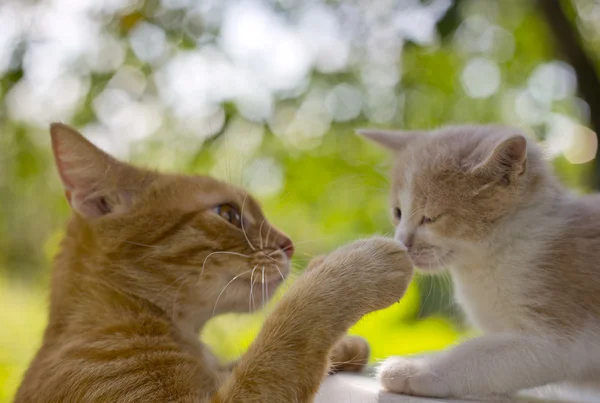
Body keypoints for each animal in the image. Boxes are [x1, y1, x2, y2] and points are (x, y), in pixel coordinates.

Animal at [16, 124, 414, 403]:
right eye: (228, 214)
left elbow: (244, 360)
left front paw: (346, 349)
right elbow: (289, 326)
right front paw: (356, 266)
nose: (288, 244)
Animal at [358, 126, 596, 400]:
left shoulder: (559, 336)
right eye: (397, 212)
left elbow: (480, 353)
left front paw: (418, 368)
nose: (403, 242)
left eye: (430, 218)